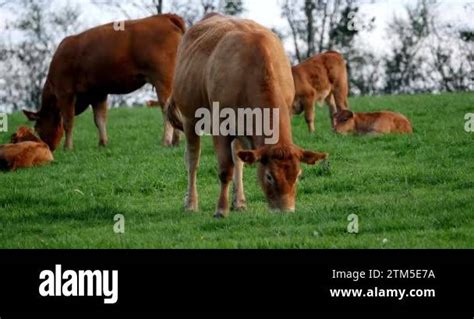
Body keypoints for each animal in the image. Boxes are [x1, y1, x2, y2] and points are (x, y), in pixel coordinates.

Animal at [23, 13, 185, 151]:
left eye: (36, 128)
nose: (48, 148)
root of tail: (165, 16)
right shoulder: (97, 93)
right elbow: (99, 119)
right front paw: (102, 143)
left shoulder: (65, 92)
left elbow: (68, 121)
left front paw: (68, 147)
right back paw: (176, 141)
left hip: (163, 80)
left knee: (167, 110)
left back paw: (166, 141)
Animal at [168, 14, 328, 220]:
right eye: (269, 176)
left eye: (298, 175)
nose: (286, 210)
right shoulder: (220, 126)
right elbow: (225, 170)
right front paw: (221, 209)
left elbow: (237, 163)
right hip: (190, 118)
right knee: (193, 160)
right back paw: (191, 203)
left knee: (238, 160)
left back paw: (239, 201)